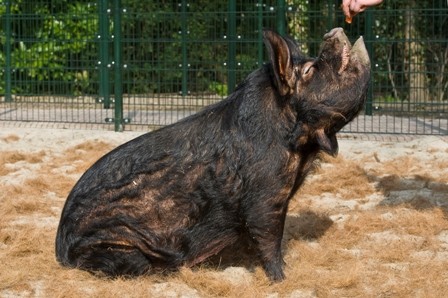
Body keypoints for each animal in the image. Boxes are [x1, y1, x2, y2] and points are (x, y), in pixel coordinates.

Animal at [55, 26, 372, 280]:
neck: (301, 148)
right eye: (308, 71)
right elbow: (269, 237)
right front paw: (281, 279)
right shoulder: (265, 194)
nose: (333, 30)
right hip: (119, 250)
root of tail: (60, 250)